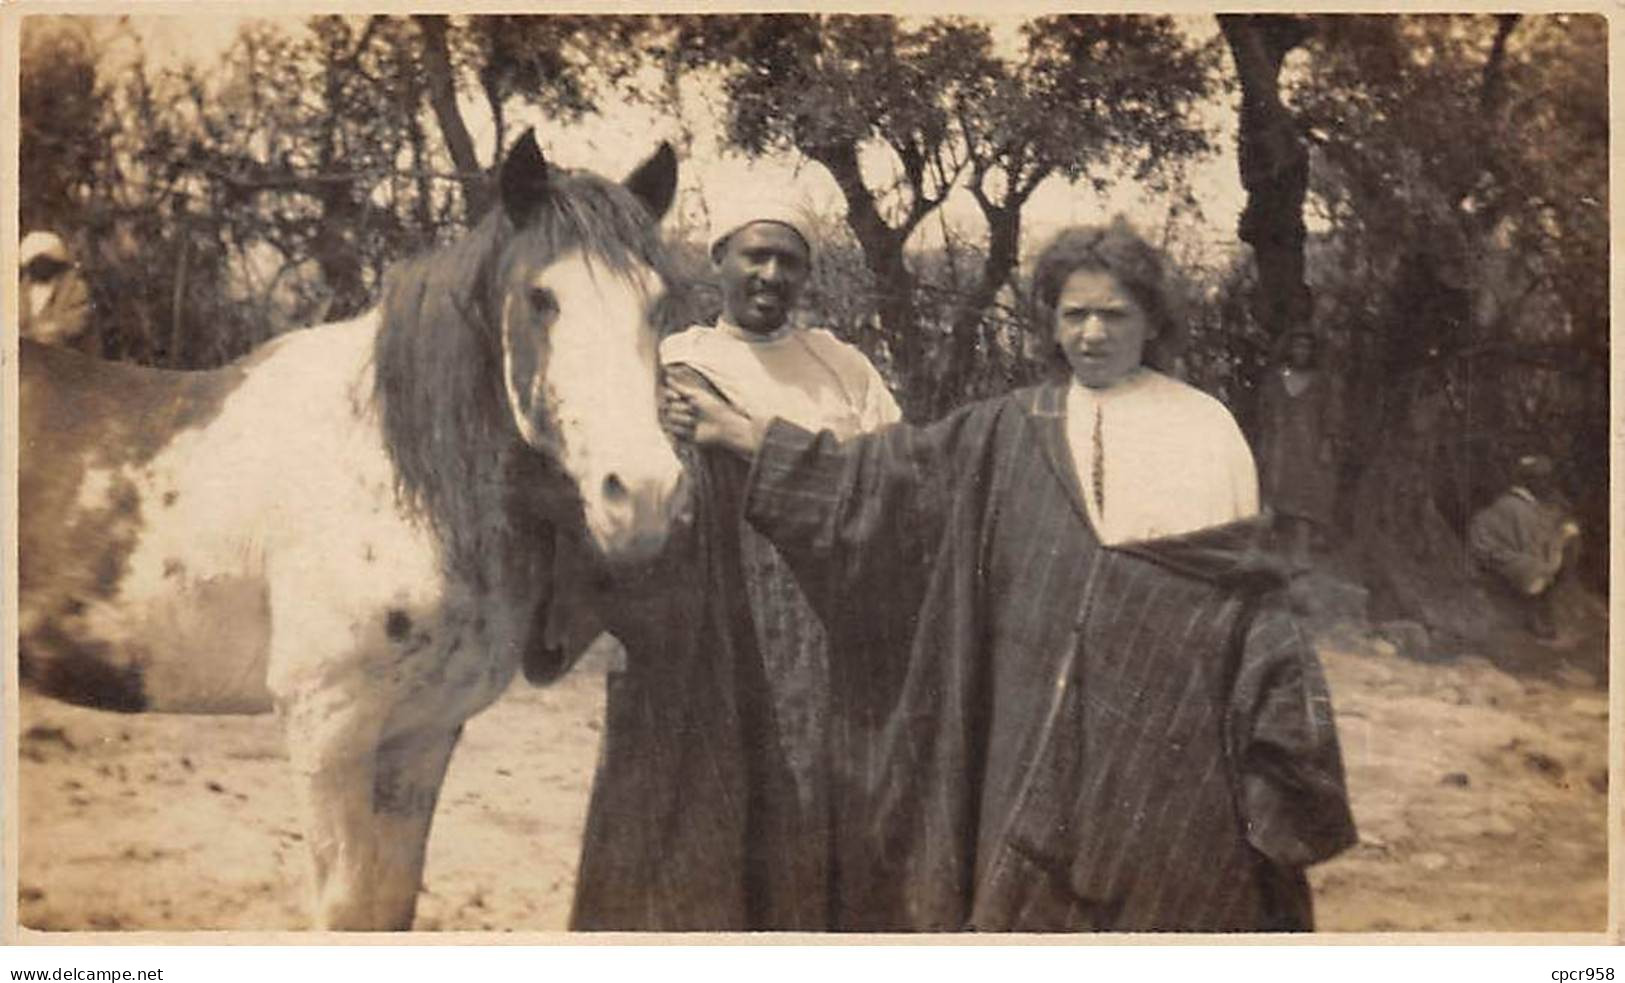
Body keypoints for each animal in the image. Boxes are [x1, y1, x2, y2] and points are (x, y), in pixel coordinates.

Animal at [17, 132, 685, 929]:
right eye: (541, 298)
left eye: (657, 306)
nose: (643, 493)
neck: (397, 475)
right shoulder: (328, 731)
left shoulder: (423, 732)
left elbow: (391, 904)